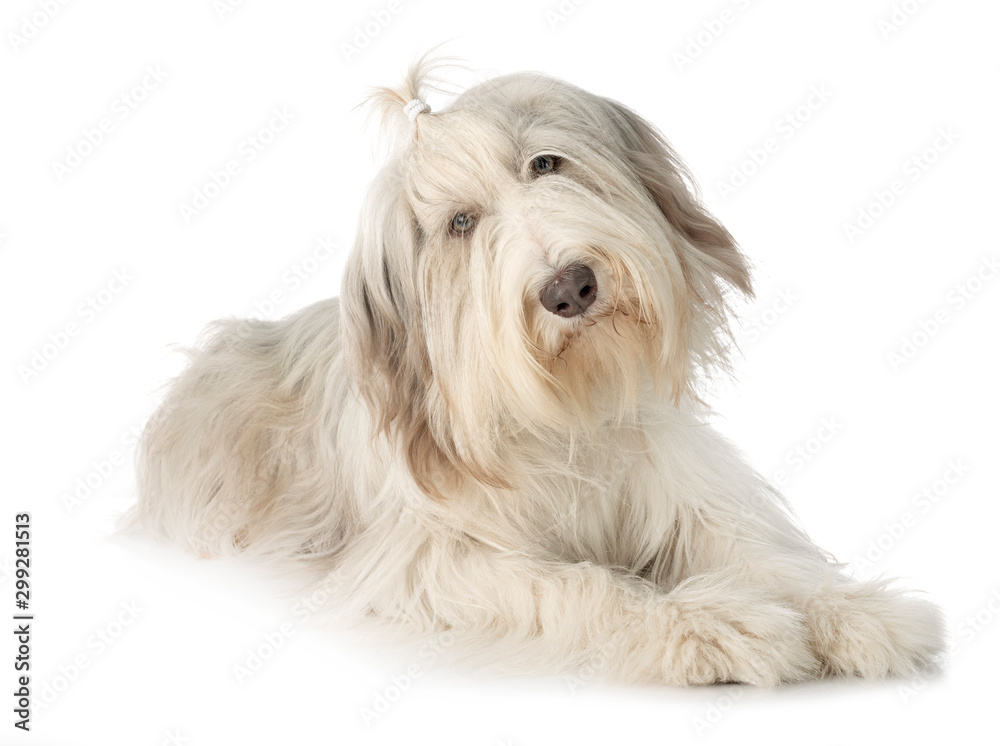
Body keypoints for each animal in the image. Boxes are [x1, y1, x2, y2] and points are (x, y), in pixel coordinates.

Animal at [133, 59, 944, 684]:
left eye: (544, 163)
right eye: (460, 223)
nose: (569, 287)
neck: (566, 409)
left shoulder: (686, 493)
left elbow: (763, 556)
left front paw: (852, 610)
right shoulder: (431, 562)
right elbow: (578, 584)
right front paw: (698, 626)